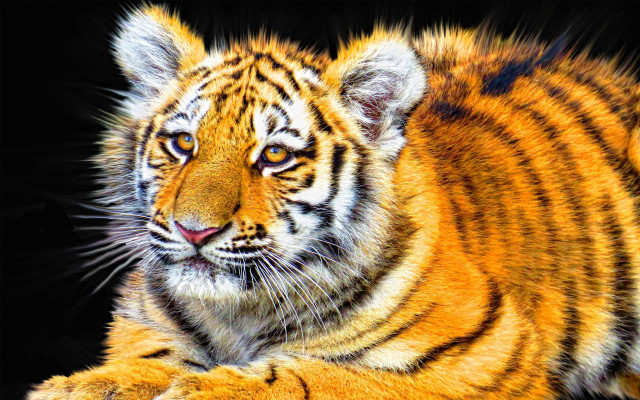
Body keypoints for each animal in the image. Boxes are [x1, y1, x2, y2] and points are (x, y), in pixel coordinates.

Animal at [27, 4, 640, 400]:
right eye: (182, 144)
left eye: (274, 155)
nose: (194, 231)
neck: (237, 315)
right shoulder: (149, 335)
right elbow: (139, 366)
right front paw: (83, 387)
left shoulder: (488, 360)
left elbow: (325, 376)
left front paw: (205, 389)